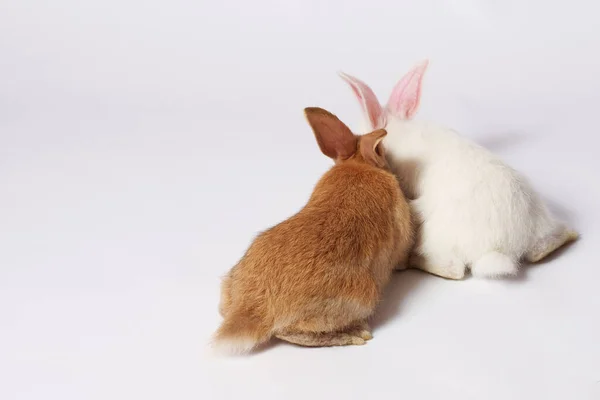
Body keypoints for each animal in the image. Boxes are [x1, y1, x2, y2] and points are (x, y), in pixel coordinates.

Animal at [213, 106, 414, 354]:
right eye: (383, 153)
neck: (358, 164)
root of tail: (252, 311)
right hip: (362, 297)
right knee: (289, 333)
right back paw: (353, 334)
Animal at [338, 61, 576, 280]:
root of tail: (504, 248)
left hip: (436, 236)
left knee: (454, 270)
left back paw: (413, 261)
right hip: (543, 227)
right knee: (547, 245)